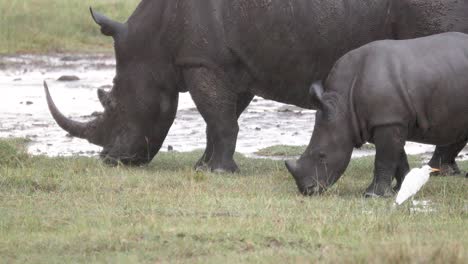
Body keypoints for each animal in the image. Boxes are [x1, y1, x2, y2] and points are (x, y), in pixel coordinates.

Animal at [286, 32, 468, 197]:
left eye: (322, 155)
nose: (307, 190)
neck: (343, 106)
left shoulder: (388, 121)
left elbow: (384, 158)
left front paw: (372, 195)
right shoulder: (384, 120)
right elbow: (398, 156)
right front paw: (400, 189)